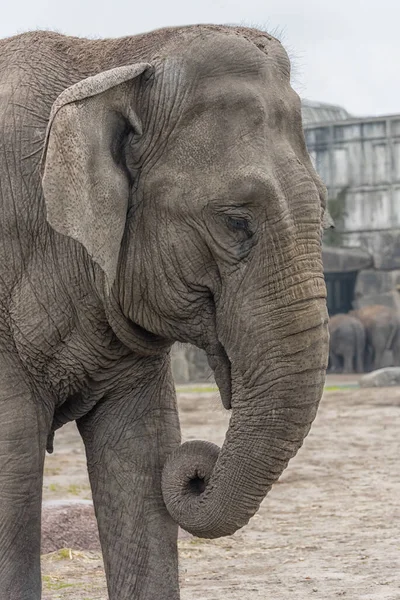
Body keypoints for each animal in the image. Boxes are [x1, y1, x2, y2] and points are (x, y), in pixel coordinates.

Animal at [0, 24, 330, 600]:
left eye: (326, 210)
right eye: (235, 220)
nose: (198, 472)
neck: (118, 56)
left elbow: (142, 453)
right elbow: (12, 459)